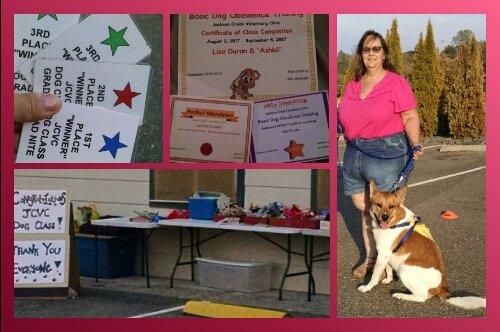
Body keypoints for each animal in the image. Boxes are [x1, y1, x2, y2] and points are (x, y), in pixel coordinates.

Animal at [358, 180, 486, 310]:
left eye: (391, 206)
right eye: (378, 205)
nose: (385, 217)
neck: (395, 222)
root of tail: (441, 288)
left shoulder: (383, 254)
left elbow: (375, 275)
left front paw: (367, 287)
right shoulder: (386, 254)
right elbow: (388, 269)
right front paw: (388, 280)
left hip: (404, 269)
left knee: (421, 297)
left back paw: (400, 295)